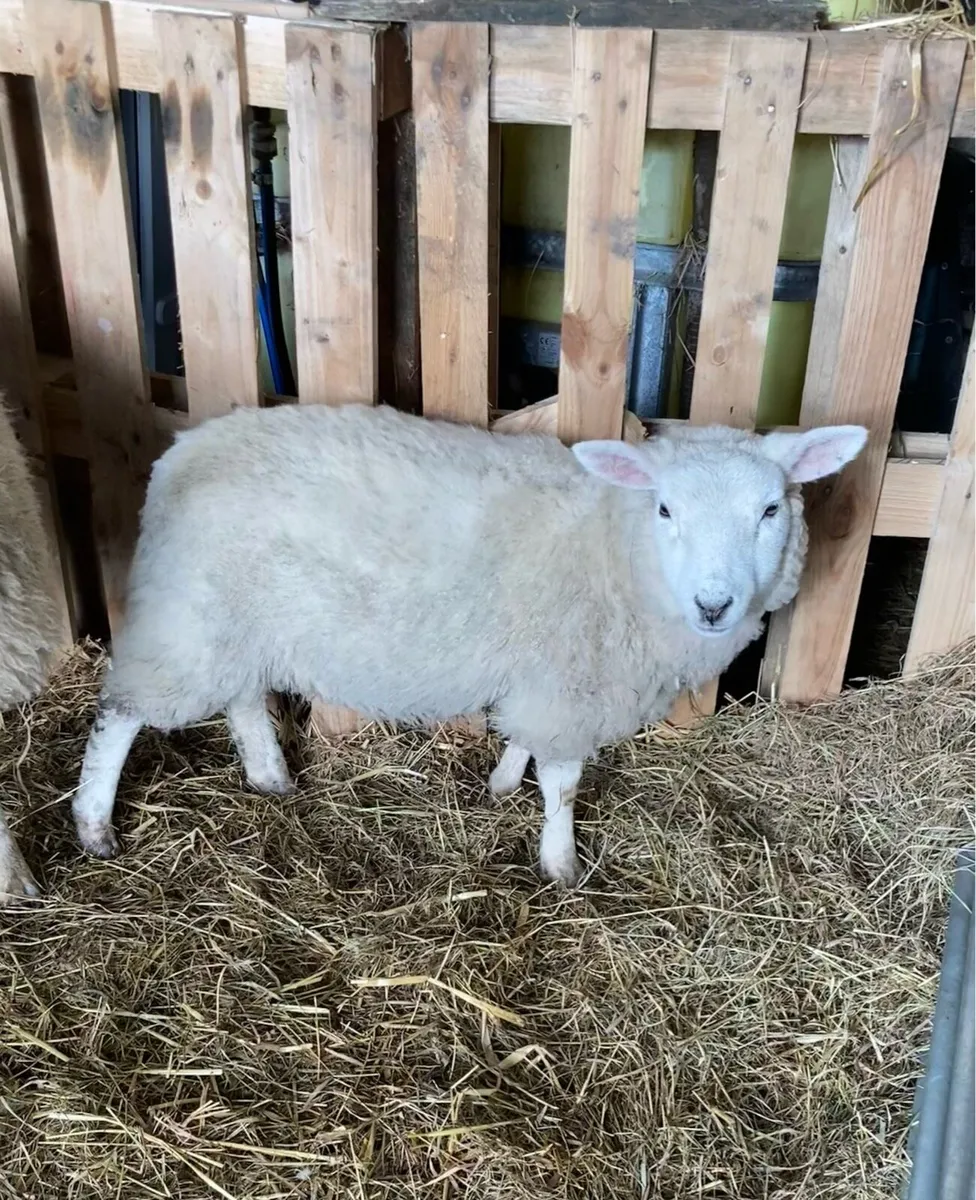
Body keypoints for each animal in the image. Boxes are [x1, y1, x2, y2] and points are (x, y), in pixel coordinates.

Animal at [73, 402, 867, 885]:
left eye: (770, 510)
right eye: (667, 508)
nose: (714, 604)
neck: (616, 546)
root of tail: (182, 451)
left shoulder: (545, 671)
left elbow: (523, 742)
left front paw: (501, 782)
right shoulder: (570, 682)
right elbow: (564, 782)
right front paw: (560, 863)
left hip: (235, 616)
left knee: (242, 697)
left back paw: (270, 777)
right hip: (188, 615)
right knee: (122, 711)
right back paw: (94, 824)